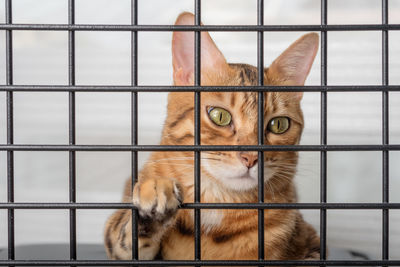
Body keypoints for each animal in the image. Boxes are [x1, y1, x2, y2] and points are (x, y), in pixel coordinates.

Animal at [104, 12, 320, 264]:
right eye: (219, 116)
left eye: (279, 124)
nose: (250, 158)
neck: (218, 200)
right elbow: (122, 234)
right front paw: (154, 194)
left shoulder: (312, 242)